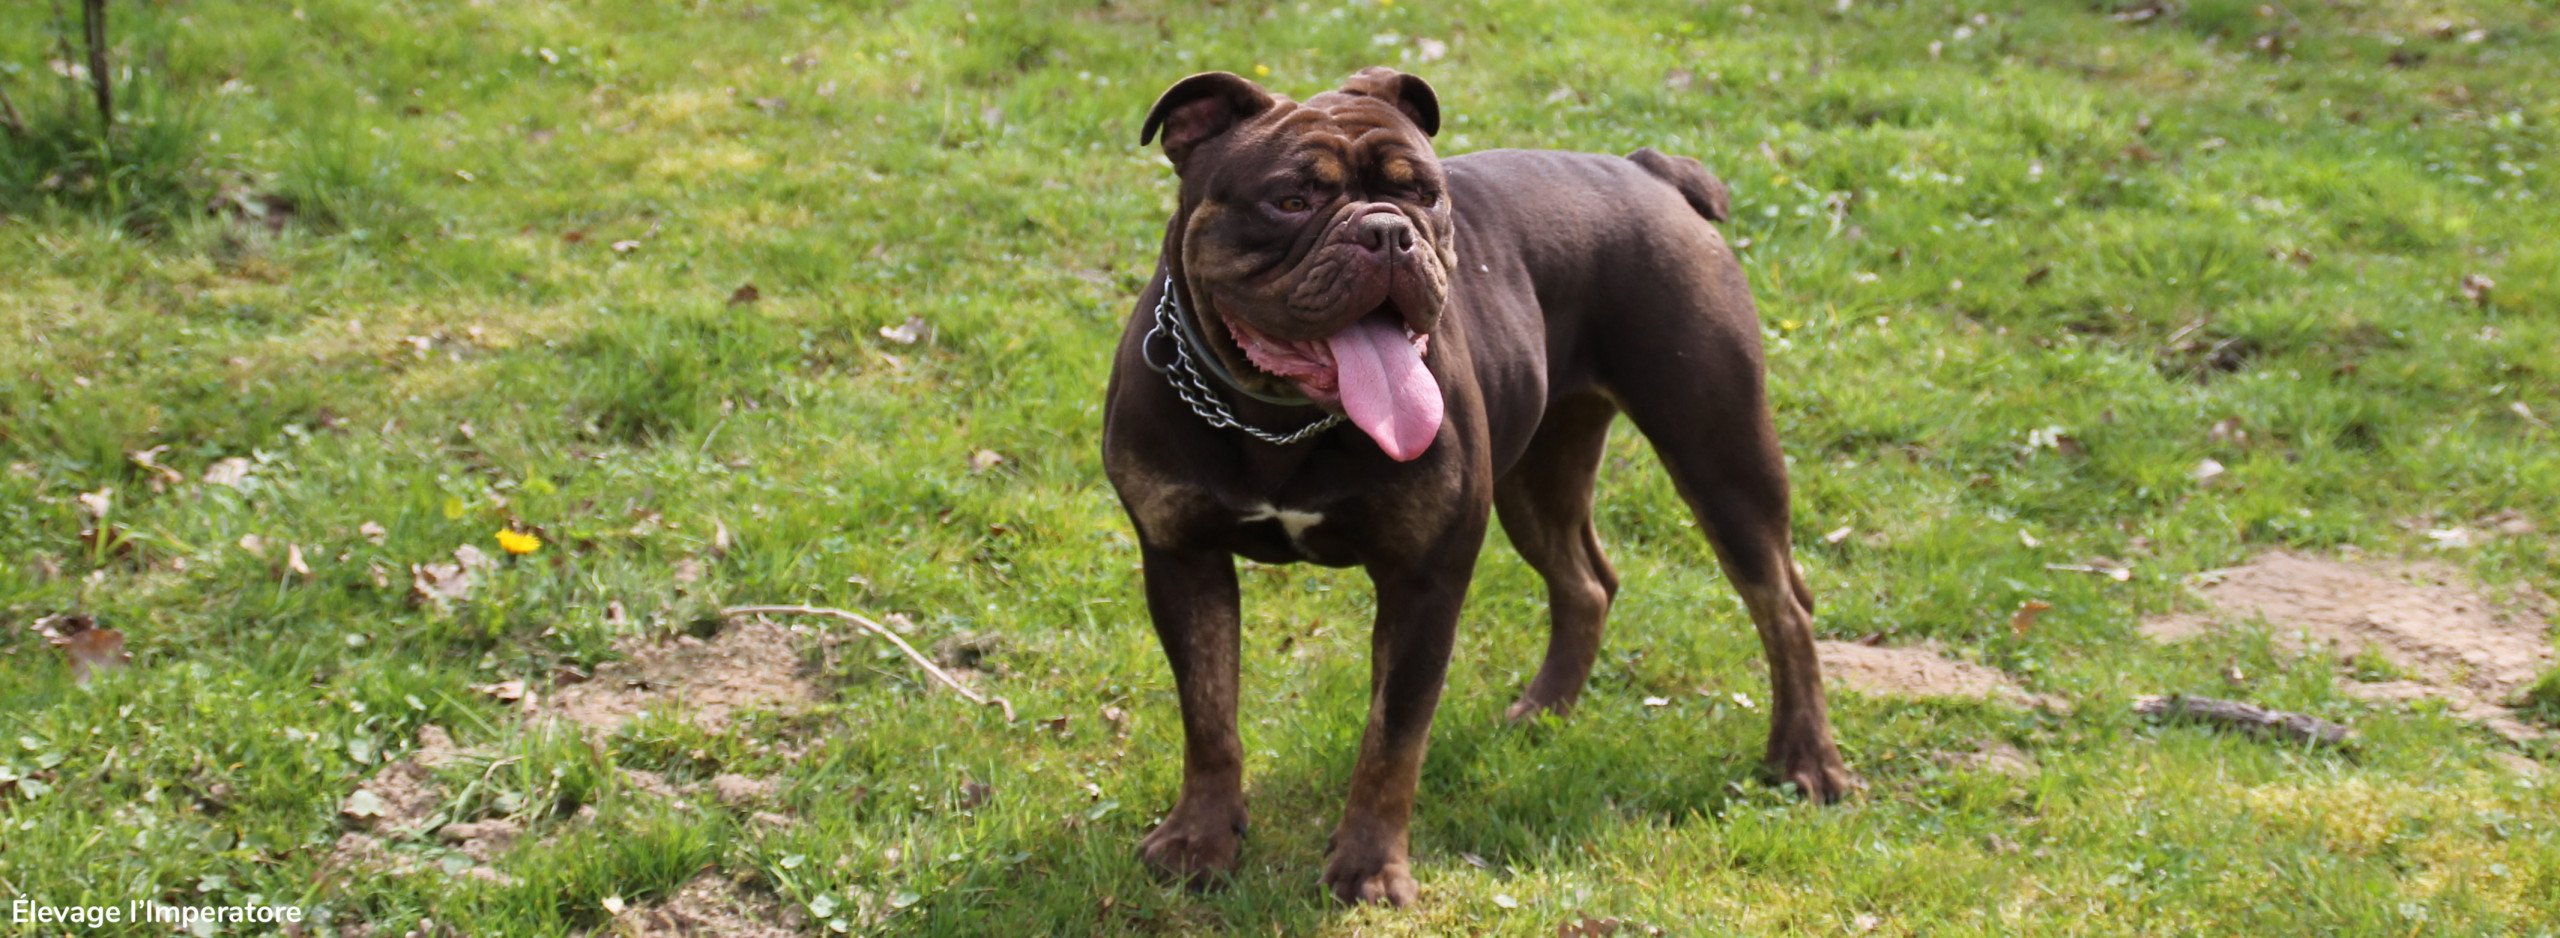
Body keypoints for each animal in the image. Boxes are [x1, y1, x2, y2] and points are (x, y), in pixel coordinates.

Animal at [1100, 67, 1863, 907]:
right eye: (1292, 200)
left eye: (1424, 195)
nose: (1387, 232)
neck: (1279, 419)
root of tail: (1649, 172)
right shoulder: (1183, 560)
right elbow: (1208, 714)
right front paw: (1199, 839)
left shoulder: (1424, 582)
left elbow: (1392, 736)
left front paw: (1371, 869)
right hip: (1538, 480)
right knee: (1586, 582)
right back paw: (1543, 713)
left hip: (1720, 455)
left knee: (1782, 604)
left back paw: (1807, 760)